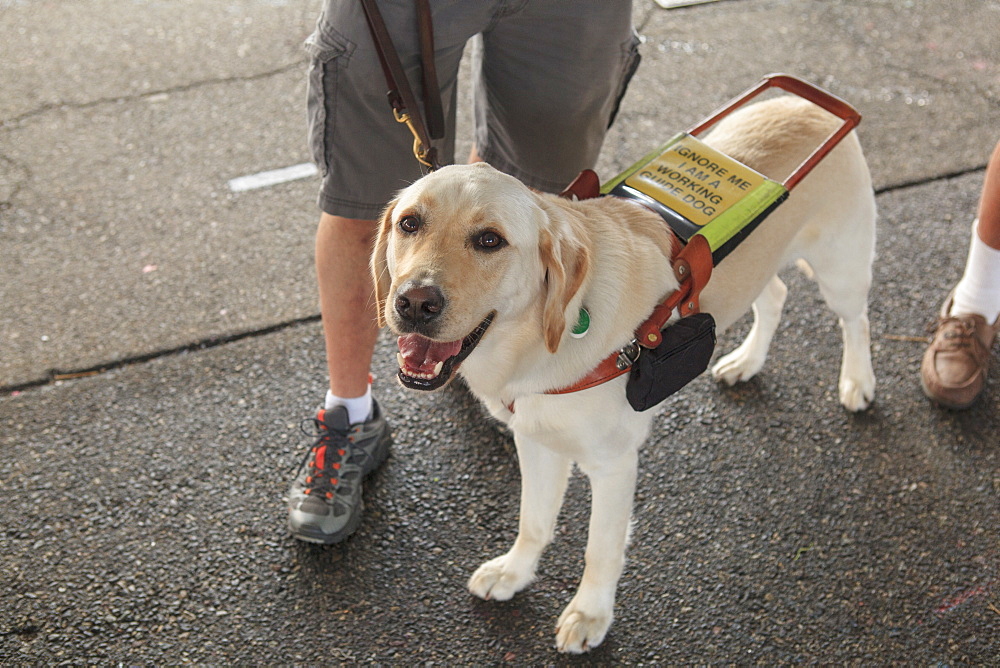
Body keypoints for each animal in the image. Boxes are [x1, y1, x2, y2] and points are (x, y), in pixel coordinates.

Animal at [370, 95, 876, 652]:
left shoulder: (613, 464)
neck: (535, 345)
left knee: (856, 319)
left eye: (489, 240)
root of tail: (803, 101)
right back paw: (747, 362)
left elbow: (601, 548)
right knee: (777, 295)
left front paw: (590, 614)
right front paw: (514, 573)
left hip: (841, 269)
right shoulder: (537, 439)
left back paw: (858, 382)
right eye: (410, 223)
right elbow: (533, 521)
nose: (414, 303)